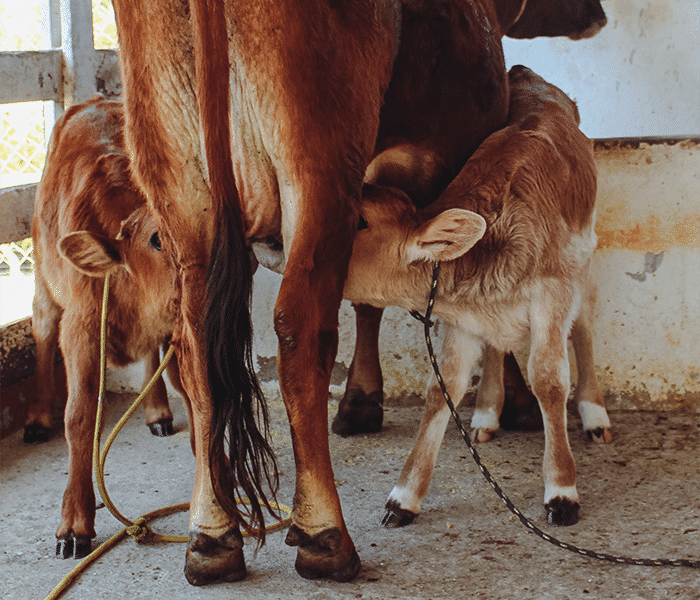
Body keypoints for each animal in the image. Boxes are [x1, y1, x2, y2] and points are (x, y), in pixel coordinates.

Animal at [28, 94, 189, 556]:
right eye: (156, 239)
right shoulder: (80, 330)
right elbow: (79, 416)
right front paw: (75, 522)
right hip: (42, 272)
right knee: (42, 325)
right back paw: (38, 418)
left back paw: (157, 412)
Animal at [344, 65, 612, 528]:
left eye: (360, 221)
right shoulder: (460, 317)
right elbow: (443, 389)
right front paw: (404, 497)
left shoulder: (553, 290)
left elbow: (548, 379)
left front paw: (562, 491)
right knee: (497, 345)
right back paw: (487, 410)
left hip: (584, 259)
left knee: (584, 325)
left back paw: (594, 414)